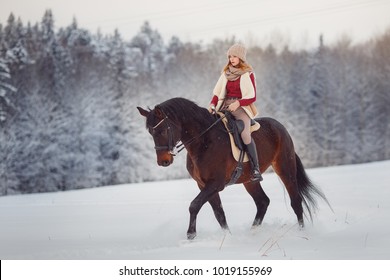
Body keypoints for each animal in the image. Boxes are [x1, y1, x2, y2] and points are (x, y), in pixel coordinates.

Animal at [137, 97, 330, 240]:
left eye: (162, 130)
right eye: (150, 132)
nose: (163, 161)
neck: (204, 141)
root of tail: (280, 127)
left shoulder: (215, 184)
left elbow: (194, 205)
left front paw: (191, 235)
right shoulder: (204, 185)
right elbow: (219, 213)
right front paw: (227, 237)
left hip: (285, 168)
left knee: (295, 201)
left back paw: (301, 233)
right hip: (250, 180)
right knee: (263, 202)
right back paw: (253, 233)